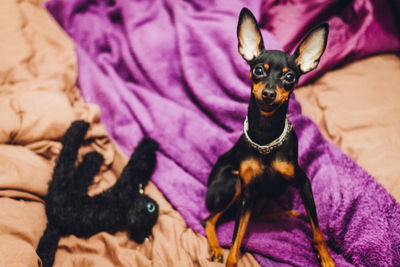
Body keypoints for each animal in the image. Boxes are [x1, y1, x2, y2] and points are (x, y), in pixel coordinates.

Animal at [36, 122, 159, 267]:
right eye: (151, 207)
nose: (136, 216)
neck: (124, 209)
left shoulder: (126, 187)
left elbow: (138, 163)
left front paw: (150, 143)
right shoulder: (130, 185)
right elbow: (142, 165)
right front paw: (152, 144)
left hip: (62, 185)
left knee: (68, 155)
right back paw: (92, 154)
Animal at [203, 7, 334, 266]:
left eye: (290, 77)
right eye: (258, 70)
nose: (269, 93)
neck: (265, 140)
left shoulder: (303, 183)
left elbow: (318, 231)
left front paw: (326, 258)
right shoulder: (246, 192)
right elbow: (236, 239)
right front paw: (230, 257)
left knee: (256, 213)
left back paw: (284, 213)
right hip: (233, 183)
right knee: (209, 219)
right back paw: (216, 247)